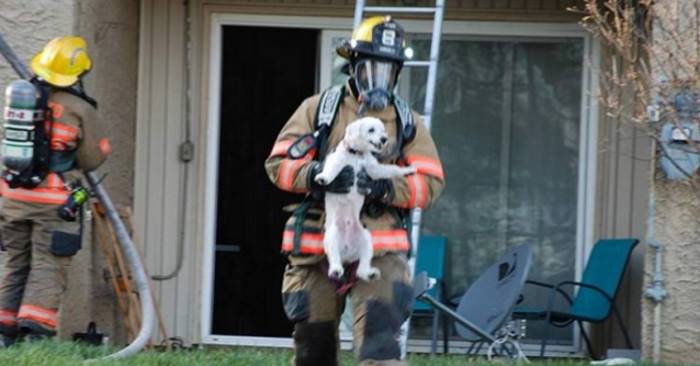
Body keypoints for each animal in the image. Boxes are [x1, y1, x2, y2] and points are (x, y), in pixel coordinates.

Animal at [314, 117, 416, 280]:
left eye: (383, 130)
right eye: (371, 130)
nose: (384, 139)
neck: (357, 154)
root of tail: (347, 254)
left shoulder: (372, 169)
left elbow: (389, 170)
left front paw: (407, 170)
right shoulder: (338, 159)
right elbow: (332, 168)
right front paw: (323, 178)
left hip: (366, 238)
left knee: (362, 265)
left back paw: (370, 273)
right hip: (332, 236)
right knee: (334, 255)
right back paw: (336, 270)